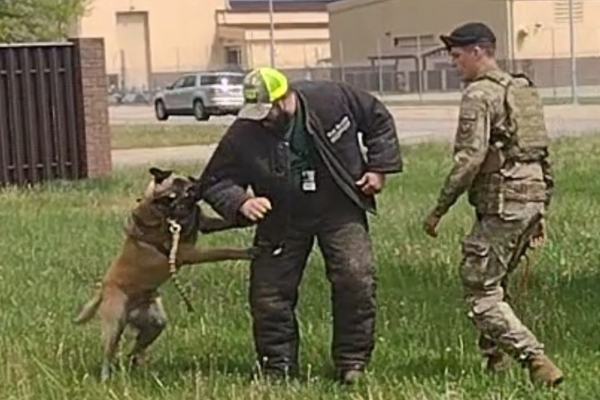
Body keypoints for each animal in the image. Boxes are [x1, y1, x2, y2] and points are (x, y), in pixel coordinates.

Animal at [72, 166, 255, 382]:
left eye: (188, 184)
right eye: (187, 190)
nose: (203, 181)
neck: (167, 213)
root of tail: (103, 289)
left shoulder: (204, 223)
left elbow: (227, 221)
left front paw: (248, 216)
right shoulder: (189, 253)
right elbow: (222, 251)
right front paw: (248, 251)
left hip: (155, 324)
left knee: (134, 349)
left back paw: (136, 365)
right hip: (114, 323)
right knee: (109, 352)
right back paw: (106, 377)